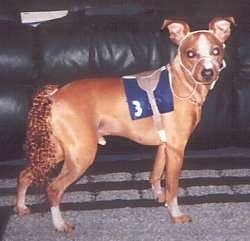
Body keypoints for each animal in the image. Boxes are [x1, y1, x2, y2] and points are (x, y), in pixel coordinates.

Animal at [15, 17, 234, 232]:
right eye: (190, 54)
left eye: (216, 51)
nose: (208, 72)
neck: (180, 83)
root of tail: (54, 95)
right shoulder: (177, 149)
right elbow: (172, 187)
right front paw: (175, 214)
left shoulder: (164, 146)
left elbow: (155, 174)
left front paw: (159, 197)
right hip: (81, 155)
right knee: (53, 189)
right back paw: (59, 224)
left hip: (60, 151)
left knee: (24, 174)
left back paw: (21, 207)